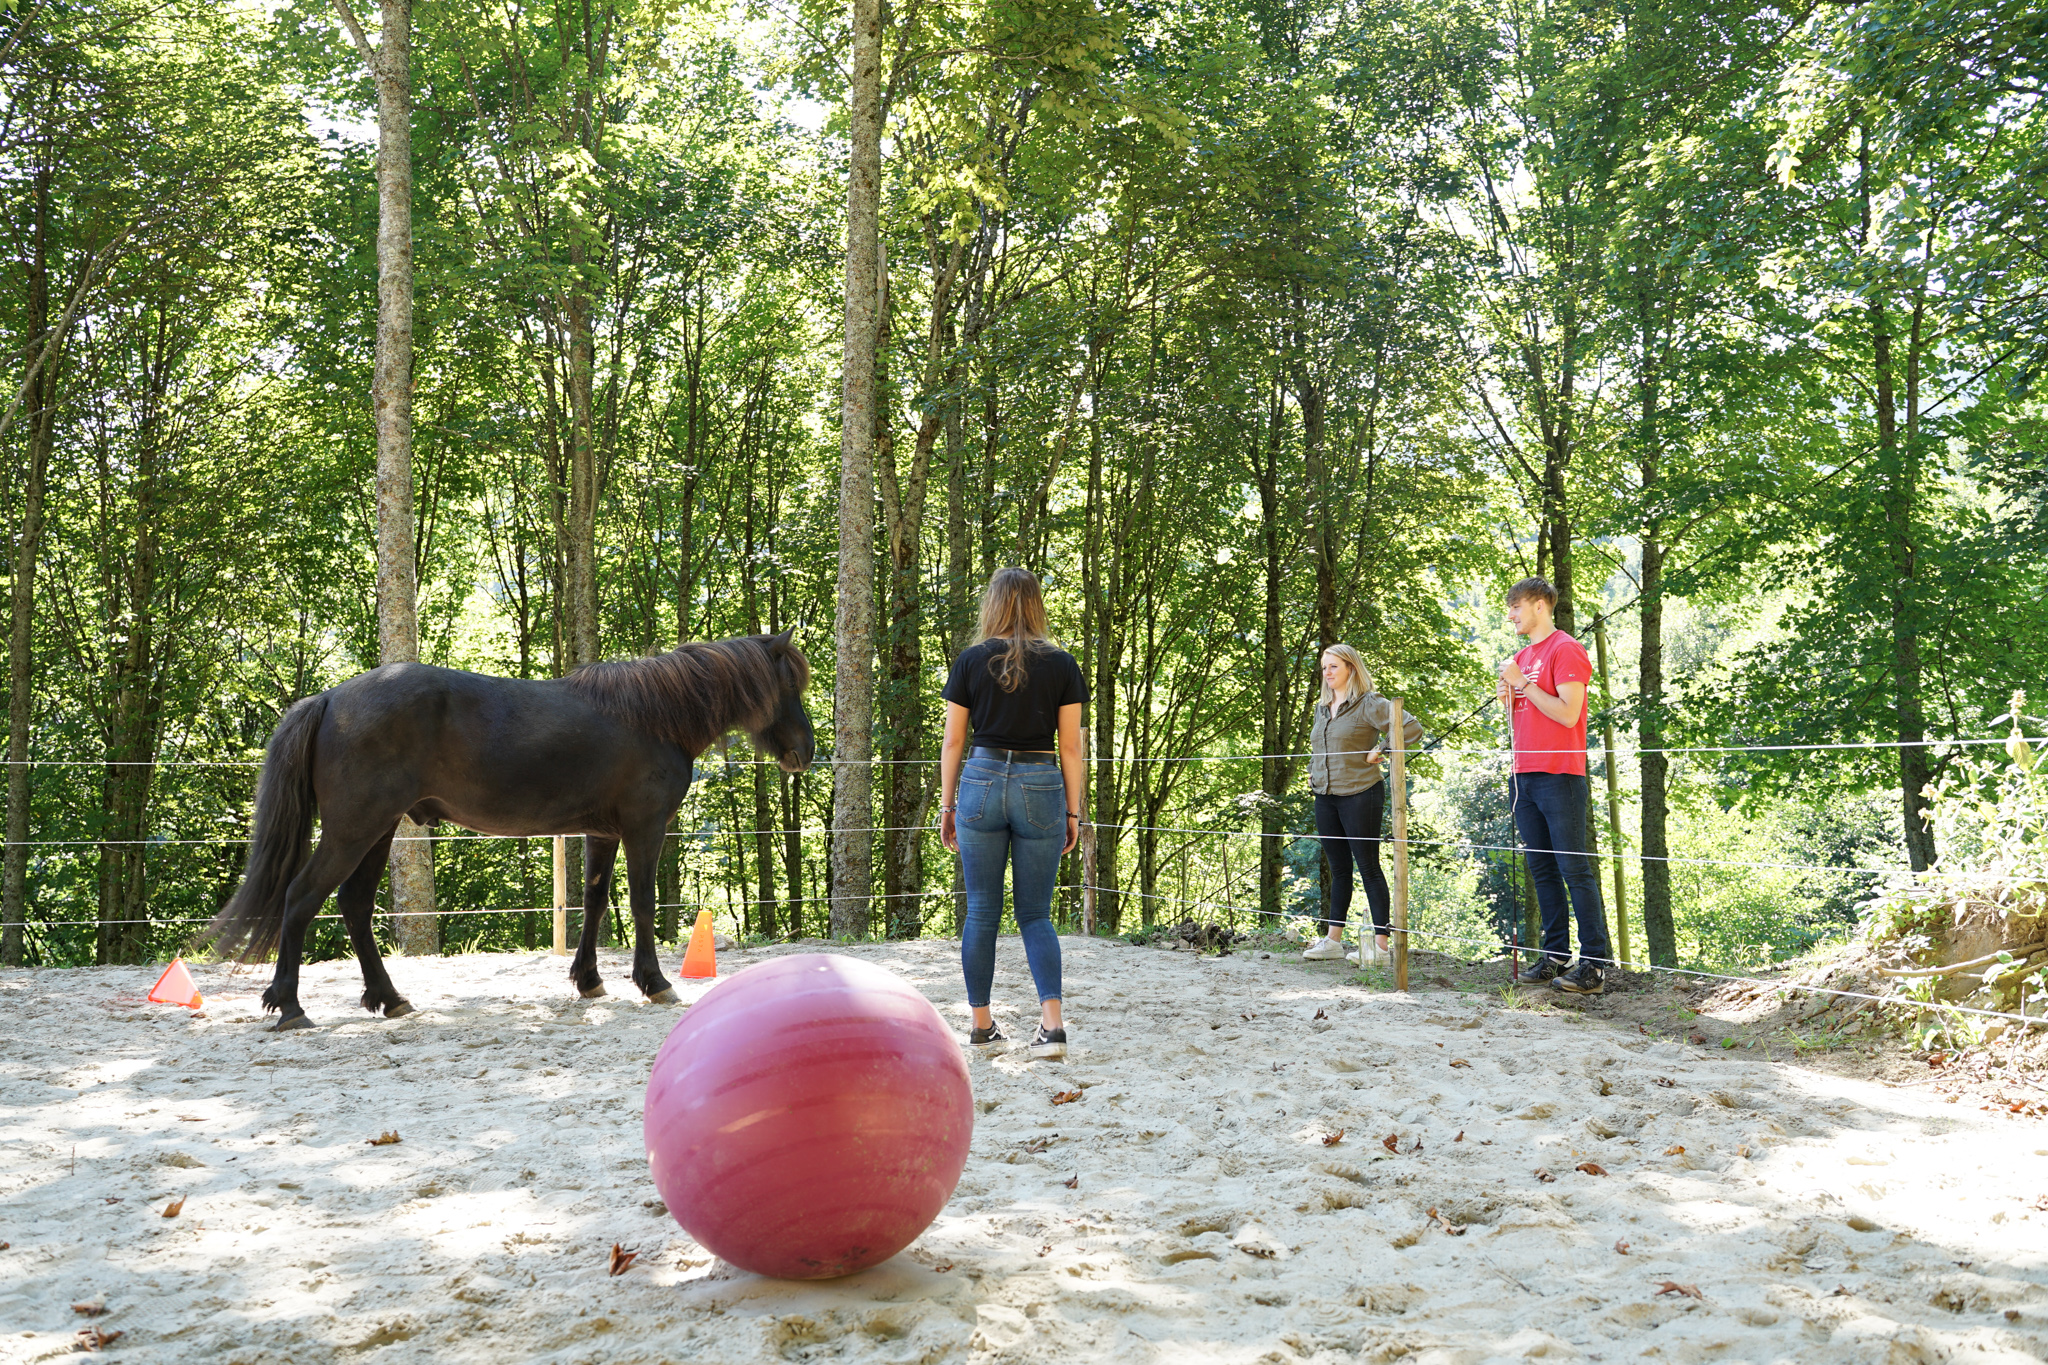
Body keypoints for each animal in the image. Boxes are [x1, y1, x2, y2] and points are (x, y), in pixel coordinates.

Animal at [205, 630, 815, 1023]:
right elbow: (641, 903)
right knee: (302, 897)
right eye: (790, 687)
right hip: (354, 829)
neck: (654, 716)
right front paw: (656, 982)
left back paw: (389, 998)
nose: (804, 753)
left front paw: (588, 980)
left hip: (377, 830)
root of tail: (331, 697)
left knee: (353, 905)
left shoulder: (602, 833)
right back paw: (289, 1005)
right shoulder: (645, 829)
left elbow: (595, 902)